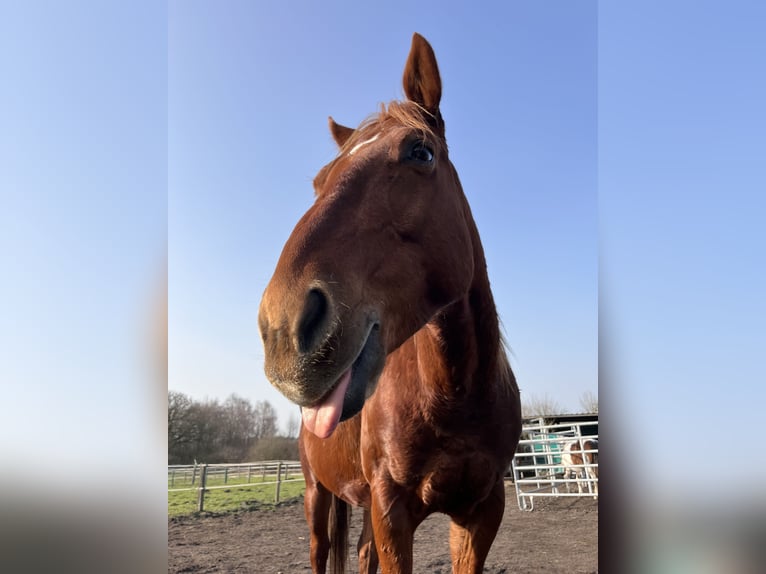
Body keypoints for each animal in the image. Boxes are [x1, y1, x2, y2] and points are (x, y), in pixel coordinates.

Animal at [258, 33, 522, 574]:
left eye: (421, 153)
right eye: (318, 181)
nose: (281, 326)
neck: (455, 393)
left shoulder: (482, 511)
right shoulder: (392, 510)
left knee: (360, 552)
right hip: (318, 496)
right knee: (322, 552)